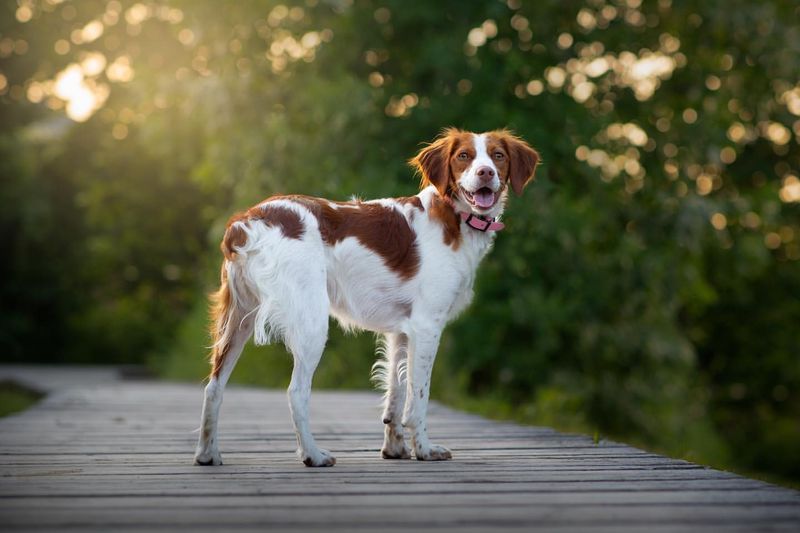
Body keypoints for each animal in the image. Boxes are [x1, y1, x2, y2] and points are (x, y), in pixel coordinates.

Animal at [196, 128, 540, 466]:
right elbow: (418, 397)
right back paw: (313, 455)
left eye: (498, 156)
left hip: (238, 320)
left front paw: (395, 449)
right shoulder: (427, 325)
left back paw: (207, 454)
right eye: (464, 156)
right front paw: (424, 449)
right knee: (296, 392)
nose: (486, 172)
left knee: (214, 386)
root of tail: (247, 220)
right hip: (311, 322)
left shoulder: (402, 331)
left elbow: (395, 392)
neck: (454, 216)